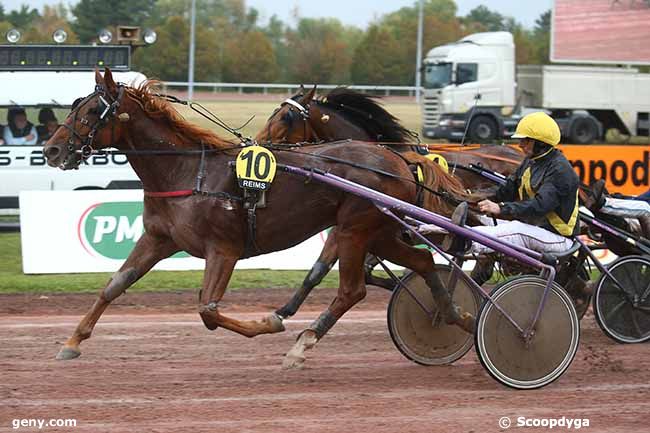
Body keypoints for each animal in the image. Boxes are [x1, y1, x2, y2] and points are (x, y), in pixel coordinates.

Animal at [44, 68, 470, 368]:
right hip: (378, 231)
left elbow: (209, 310)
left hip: (354, 229)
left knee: (353, 290)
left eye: (90, 111)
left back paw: (303, 344)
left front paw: (270, 323)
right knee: (422, 261)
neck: (186, 172)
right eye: (75, 105)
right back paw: (452, 315)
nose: (51, 150)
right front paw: (72, 342)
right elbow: (114, 285)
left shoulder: (223, 248)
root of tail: (398, 159)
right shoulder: (159, 239)